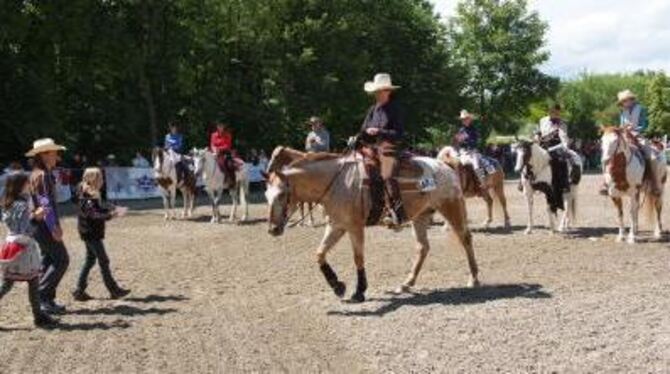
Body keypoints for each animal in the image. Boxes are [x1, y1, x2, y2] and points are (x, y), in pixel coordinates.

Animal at [266, 146, 480, 304]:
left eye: (282, 195)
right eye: (267, 196)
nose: (273, 229)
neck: (338, 183)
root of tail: (446, 166)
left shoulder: (355, 227)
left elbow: (358, 258)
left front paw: (359, 291)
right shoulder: (337, 225)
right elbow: (319, 253)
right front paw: (337, 286)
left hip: (451, 208)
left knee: (465, 238)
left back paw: (474, 279)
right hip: (420, 216)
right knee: (422, 248)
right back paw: (406, 283)